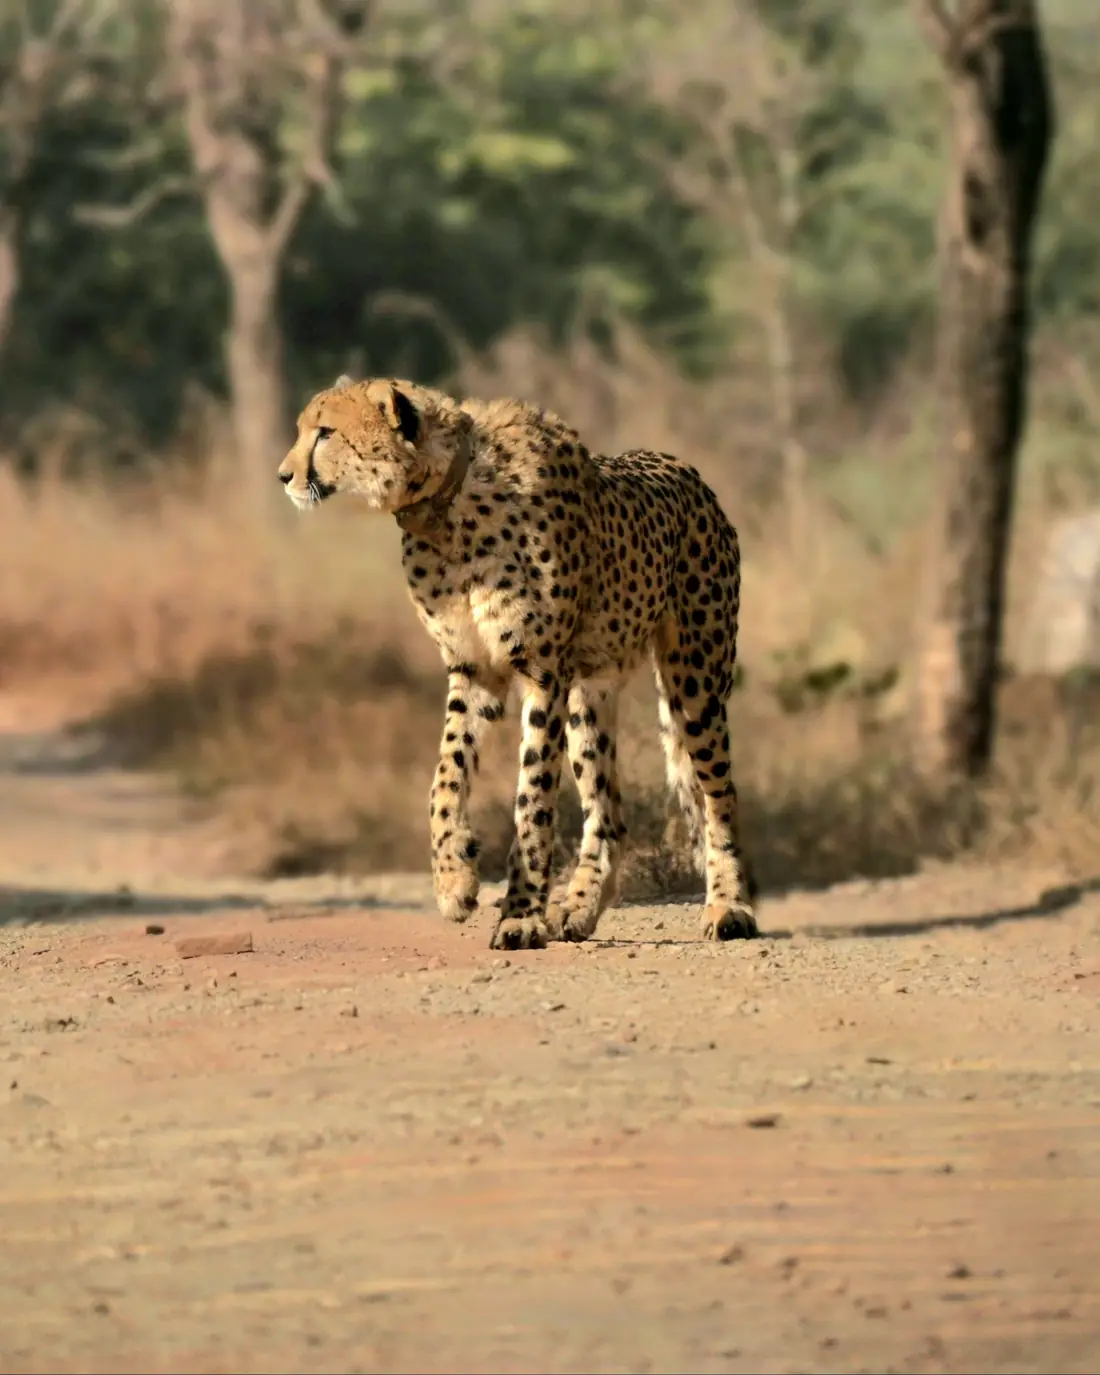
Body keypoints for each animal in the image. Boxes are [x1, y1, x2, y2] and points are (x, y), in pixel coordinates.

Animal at [278, 373, 759, 951]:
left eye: (325, 432)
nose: (284, 475)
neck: (447, 507)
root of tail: (686, 471)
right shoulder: (473, 671)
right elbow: (444, 775)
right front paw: (454, 879)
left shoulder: (542, 671)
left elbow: (532, 797)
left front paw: (520, 916)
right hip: (589, 696)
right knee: (609, 813)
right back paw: (578, 909)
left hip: (695, 679)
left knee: (718, 798)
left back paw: (730, 908)